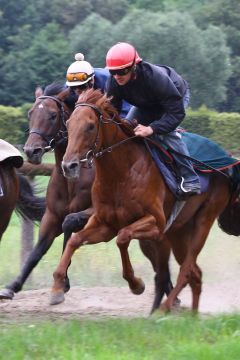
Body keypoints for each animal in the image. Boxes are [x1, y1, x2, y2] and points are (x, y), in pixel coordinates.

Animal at [50, 89, 238, 312]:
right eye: (68, 123)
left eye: (90, 126)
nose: (68, 166)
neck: (121, 174)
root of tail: (229, 163)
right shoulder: (105, 224)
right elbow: (75, 240)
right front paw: (57, 286)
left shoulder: (156, 223)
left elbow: (123, 237)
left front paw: (136, 284)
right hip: (179, 231)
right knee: (195, 274)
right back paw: (191, 315)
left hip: (204, 220)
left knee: (186, 269)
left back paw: (165, 307)